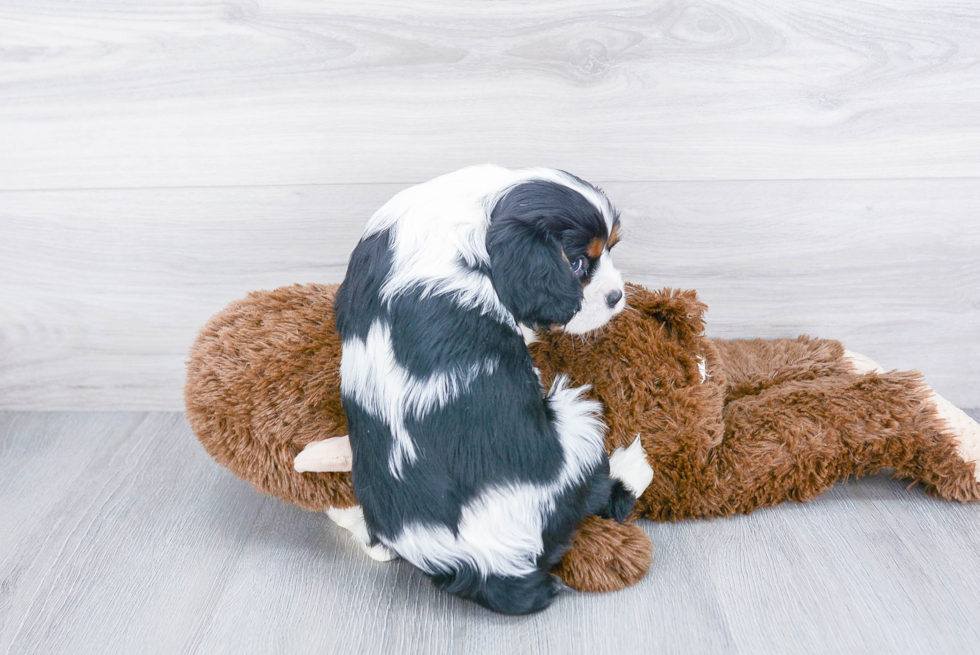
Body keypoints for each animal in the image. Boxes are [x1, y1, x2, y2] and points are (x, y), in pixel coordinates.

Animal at [334, 164, 652, 616]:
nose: (616, 296)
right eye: (576, 263)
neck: (478, 208)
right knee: (595, 490)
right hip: (577, 421)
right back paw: (633, 467)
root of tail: (482, 565)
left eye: (611, 248)